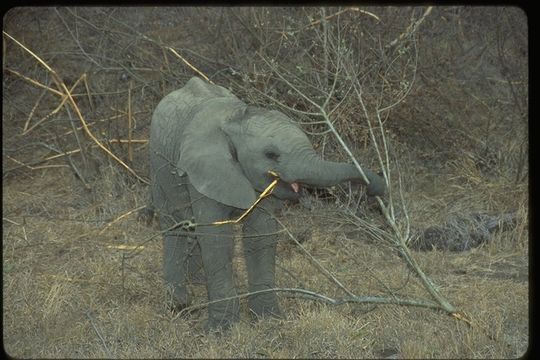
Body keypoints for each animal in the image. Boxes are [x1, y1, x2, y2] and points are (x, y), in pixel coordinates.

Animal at [148, 77, 384, 330]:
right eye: (271, 154)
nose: (375, 190)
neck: (234, 120)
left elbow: (261, 235)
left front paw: (268, 319)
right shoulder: (205, 169)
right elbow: (217, 239)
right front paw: (220, 329)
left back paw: (198, 282)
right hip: (157, 164)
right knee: (174, 223)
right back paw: (178, 303)